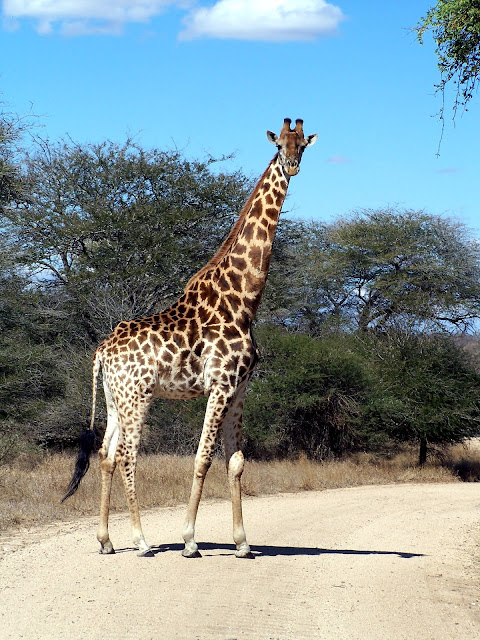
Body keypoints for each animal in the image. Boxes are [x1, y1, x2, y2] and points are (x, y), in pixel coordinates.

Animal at [64, 117, 318, 556]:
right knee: (128, 455)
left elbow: (236, 462)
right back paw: (142, 540)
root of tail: (101, 351)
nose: (292, 165)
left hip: (115, 399)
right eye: (279, 144)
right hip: (138, 396)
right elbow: (202, 459)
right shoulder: (219, 385)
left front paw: (242, 543)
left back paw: (106, 540)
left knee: (106, 454)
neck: (243, 300)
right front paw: (189, 540)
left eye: (302, 144)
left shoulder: (239, 388)